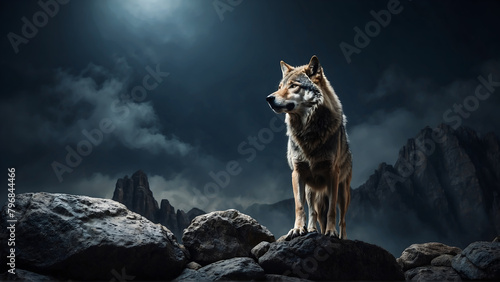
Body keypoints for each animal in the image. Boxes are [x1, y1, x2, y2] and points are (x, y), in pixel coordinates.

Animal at [266, 56, 352, 239]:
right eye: (279, 87)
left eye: (293, 85)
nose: (269, 98)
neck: (308, 132)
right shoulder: (297, 173)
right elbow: (299, 207)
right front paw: (298, 229)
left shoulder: (332, 174)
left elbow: (332, 210)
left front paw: (331, 232)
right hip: (311, 190)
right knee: (313, 211)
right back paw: (312, 229)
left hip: (343, 192)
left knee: (343, 218)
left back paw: (342, 237)